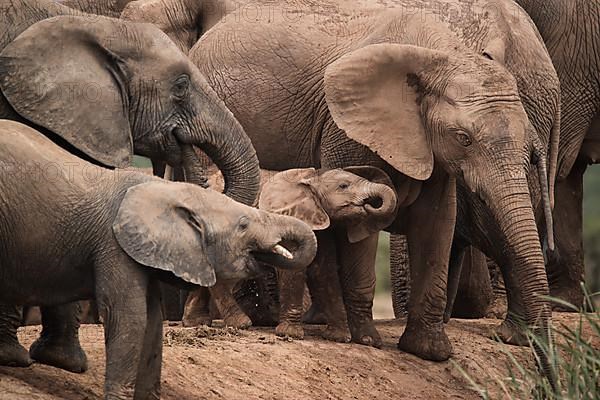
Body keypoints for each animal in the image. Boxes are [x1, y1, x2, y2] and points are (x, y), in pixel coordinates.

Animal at [0, 121, 318, 400]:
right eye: (243, 224)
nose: (180, 136)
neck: (167, 192)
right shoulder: (114, 246)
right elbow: (130, 318)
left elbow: (152, 323)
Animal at [186, 0, 556, 376]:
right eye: (463, 138)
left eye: (529, 147)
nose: (513, 341)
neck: (440, 54)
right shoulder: (346, 128)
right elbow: (362, 227)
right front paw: (367, 341)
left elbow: (438, 221)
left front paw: (429, 351)